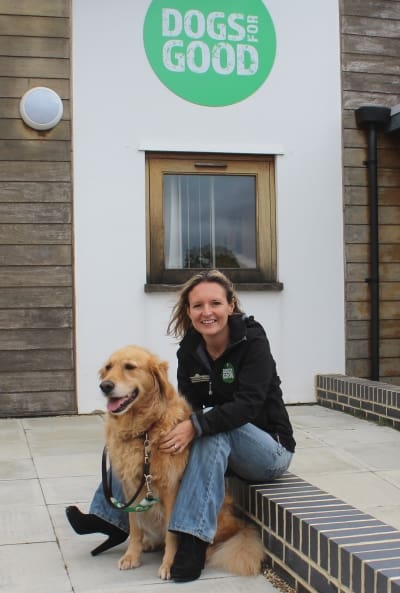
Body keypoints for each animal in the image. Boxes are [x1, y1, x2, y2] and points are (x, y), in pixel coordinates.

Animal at [98, 344, 264, 580]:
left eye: (129, 366)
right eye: (108, 368)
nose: (105, 386)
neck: (145, 430)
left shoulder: (171, 489)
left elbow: (172, 533)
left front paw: (169, 564)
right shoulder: (130, 488)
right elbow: (135, 528)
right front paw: (132, 556)